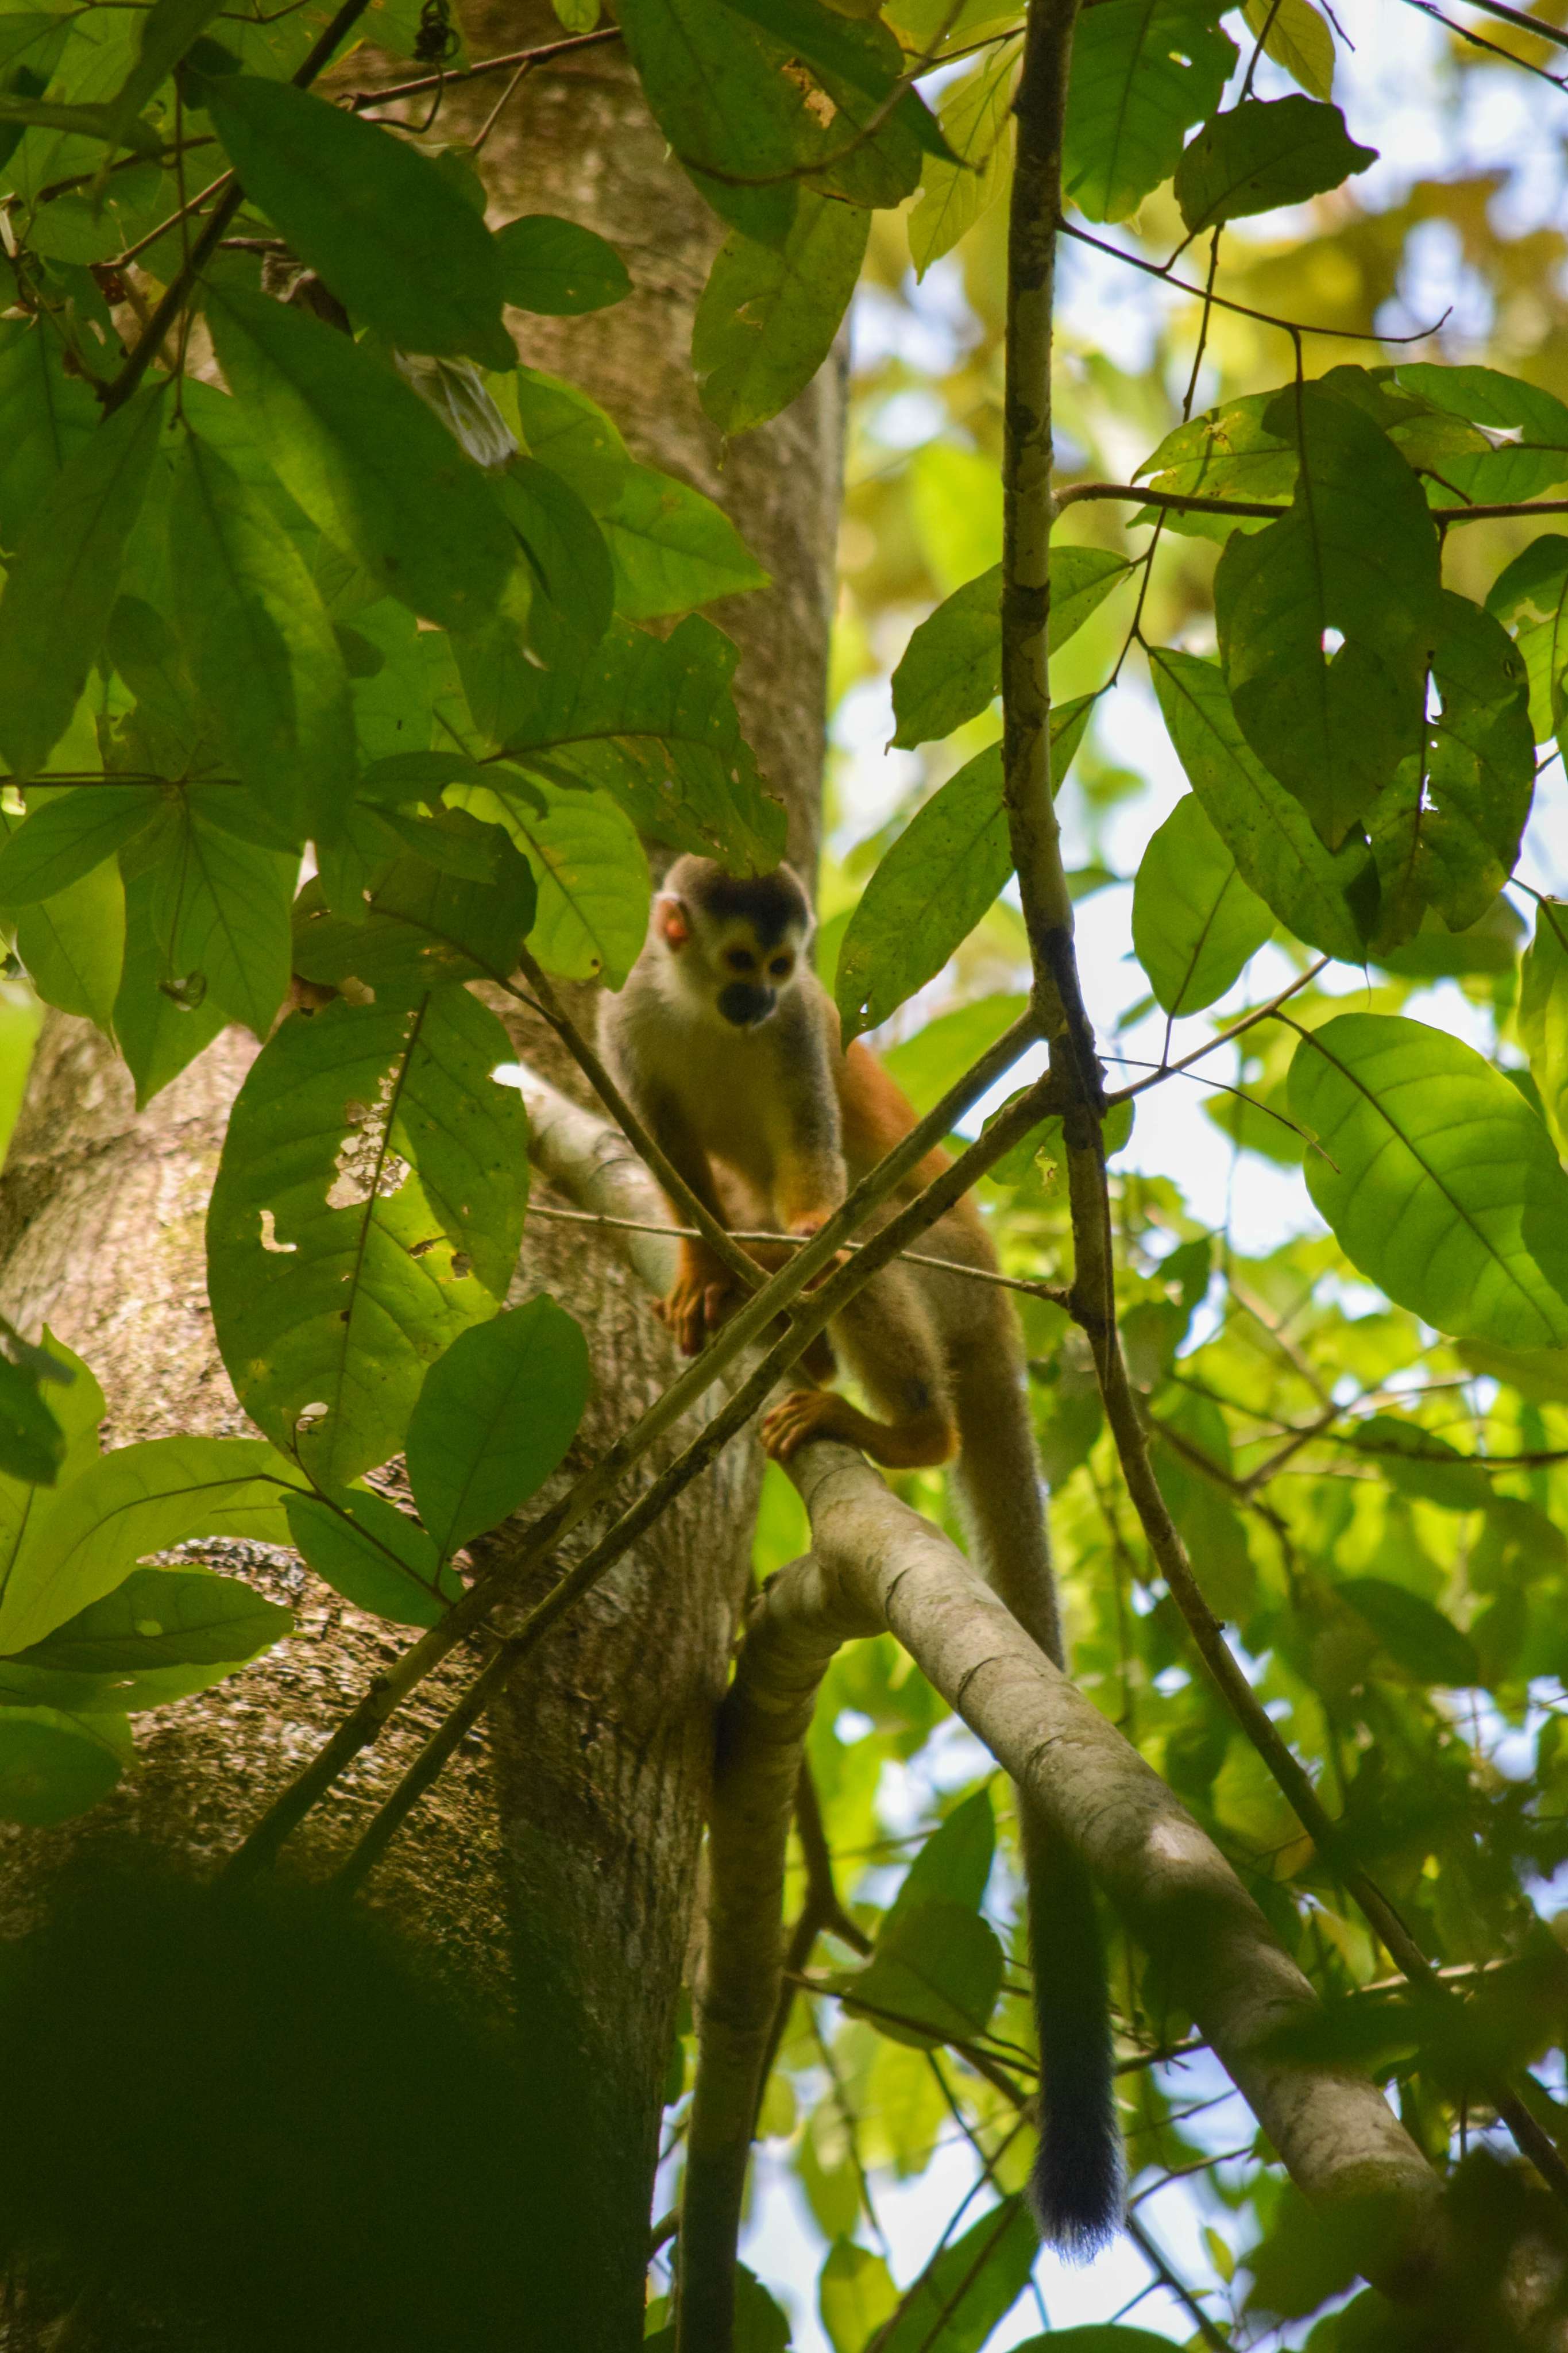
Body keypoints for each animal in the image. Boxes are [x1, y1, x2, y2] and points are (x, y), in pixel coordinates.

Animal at [598, 853, 1124, 2256]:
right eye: (738, 958)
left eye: (783, 971)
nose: (754, 999)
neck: (698, 1011)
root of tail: (1000, 1297)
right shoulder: (624, 1027)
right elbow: (669, 1159)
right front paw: (700, 1273)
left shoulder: (798, 1045)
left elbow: (815, 1174)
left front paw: (779, 1263)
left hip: (944, 1268)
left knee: (867, 1224)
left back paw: (896, 1414)